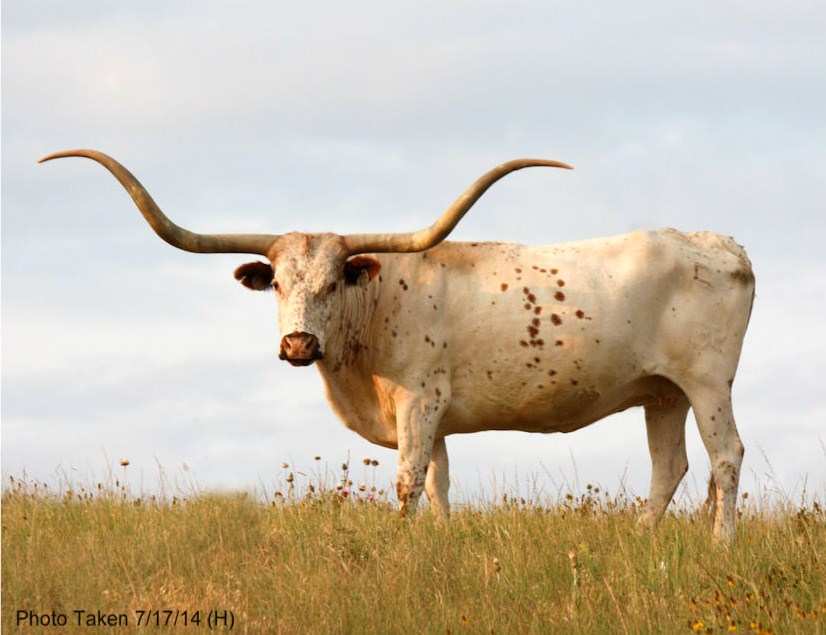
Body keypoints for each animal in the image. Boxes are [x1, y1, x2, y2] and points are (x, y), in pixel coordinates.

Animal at [40, 149, 754, 541]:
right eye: (279, 285)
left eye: (333, 281)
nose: (297, 344)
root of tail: (720, 243)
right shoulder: (435, 418)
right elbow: (439, 483)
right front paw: (439, 542)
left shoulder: (420, 400)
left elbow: (409, 479)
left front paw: (402, 543)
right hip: (662, 394)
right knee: (670, 467)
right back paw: (645, 538)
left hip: (708, 383)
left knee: (725, 457)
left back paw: (719, 546)